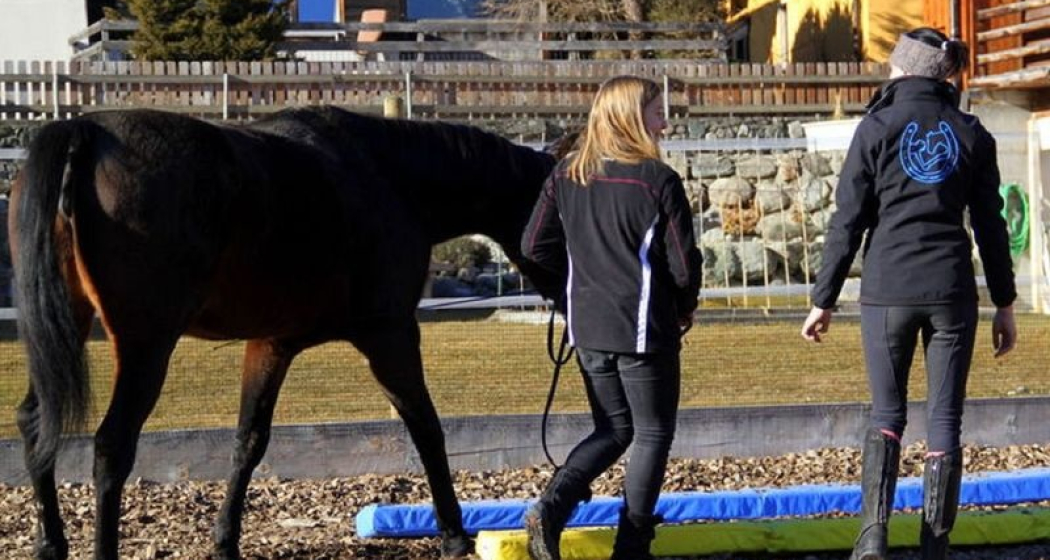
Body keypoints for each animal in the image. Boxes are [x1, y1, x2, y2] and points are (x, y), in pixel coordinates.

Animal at [10, 106, 560, 560]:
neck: (389, 177)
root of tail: (84, 132)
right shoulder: (390, 336)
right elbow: (426, 426)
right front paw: (453, 535)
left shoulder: (272, 344)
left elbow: (249, 441)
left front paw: (225, 541)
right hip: (146, 344)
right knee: (111, 445)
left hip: (68, 328)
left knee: (35, 422)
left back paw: (50, 544)